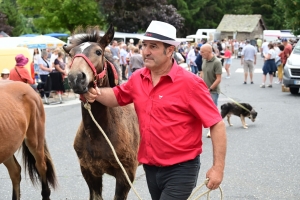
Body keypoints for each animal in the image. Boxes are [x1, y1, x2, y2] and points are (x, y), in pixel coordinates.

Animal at [63, 25, 141, 199]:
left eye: (98, 52)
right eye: (71, 54)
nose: (76, 78)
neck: (98, 132)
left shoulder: (126, 175)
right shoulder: (90, 173)